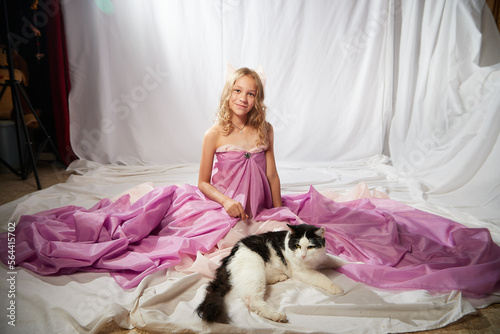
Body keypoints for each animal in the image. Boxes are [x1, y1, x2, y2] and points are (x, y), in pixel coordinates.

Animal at [195, 224, 344, 324]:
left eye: (311, 247)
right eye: (297, 246)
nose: (303, 256)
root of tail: (229, 256)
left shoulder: (321, 257)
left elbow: (335, 260)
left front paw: (349, 264)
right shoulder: (302, 272)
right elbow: (321, 277)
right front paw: (336, 288)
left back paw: (278, 277)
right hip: (255, 272)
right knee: (253, 301)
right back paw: (277, 315)